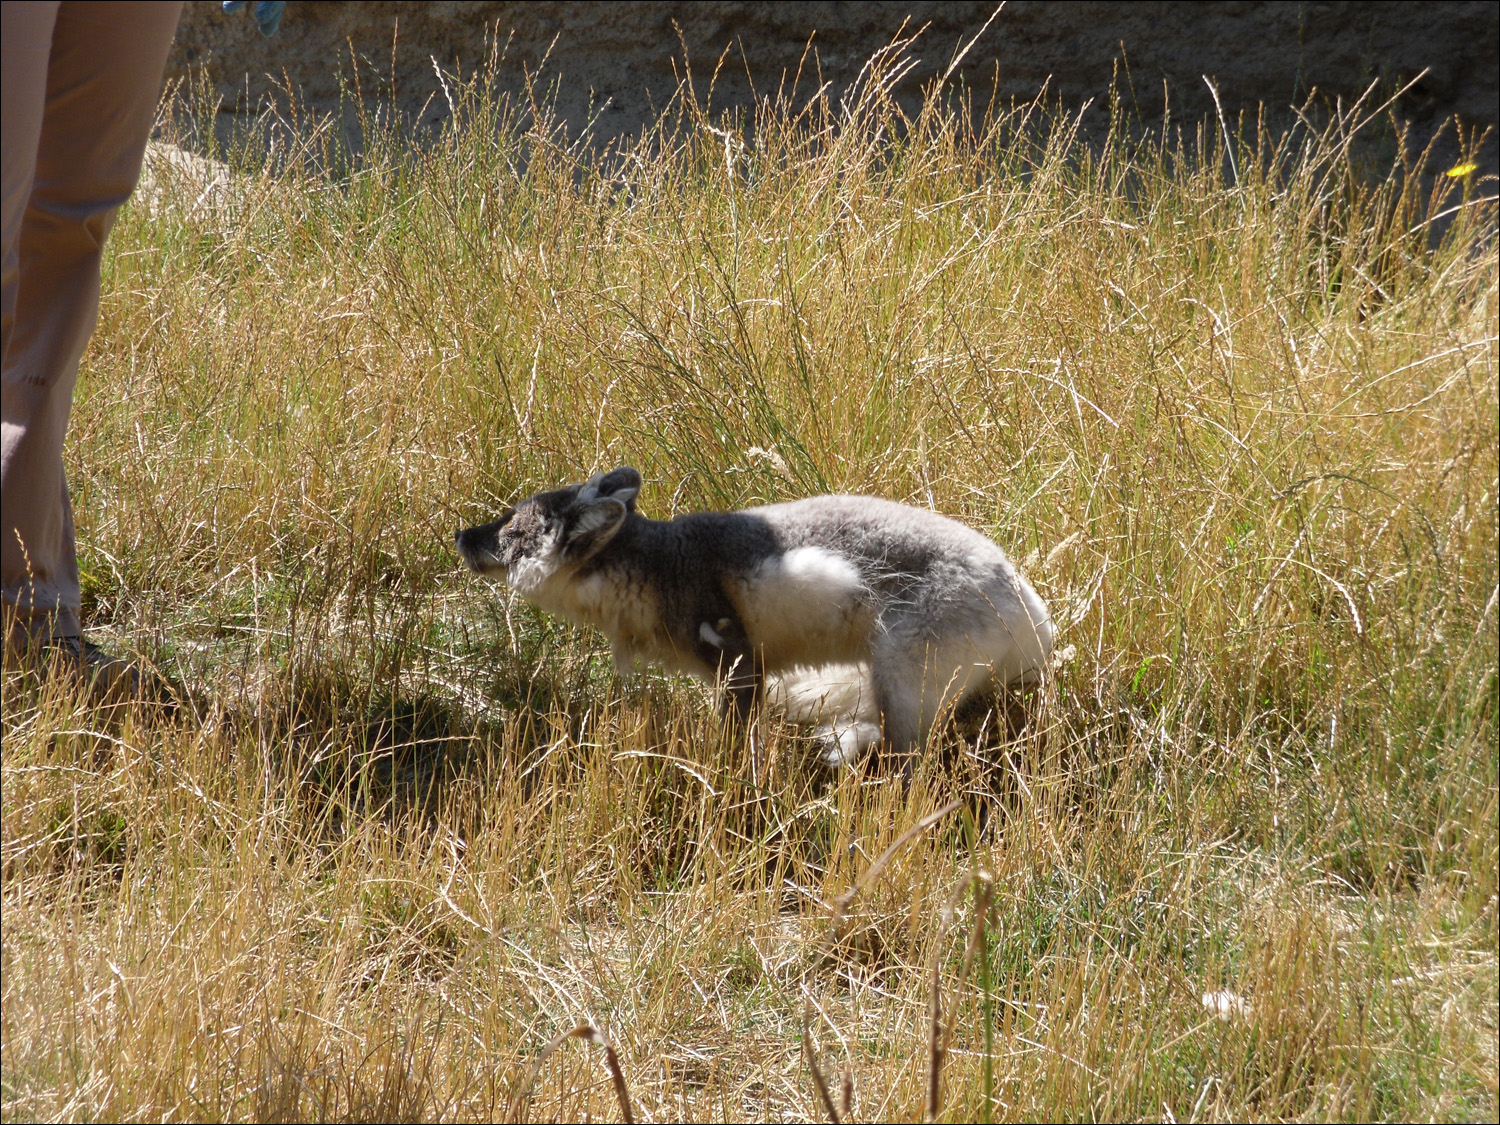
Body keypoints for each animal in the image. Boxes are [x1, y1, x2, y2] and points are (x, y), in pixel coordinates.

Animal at [456, 465, 1056, 768]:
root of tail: (1032, 612)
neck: (661, 561)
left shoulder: (738, 662)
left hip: (905, 684)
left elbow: (734, 738)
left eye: (511, 529)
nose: (462, 535)